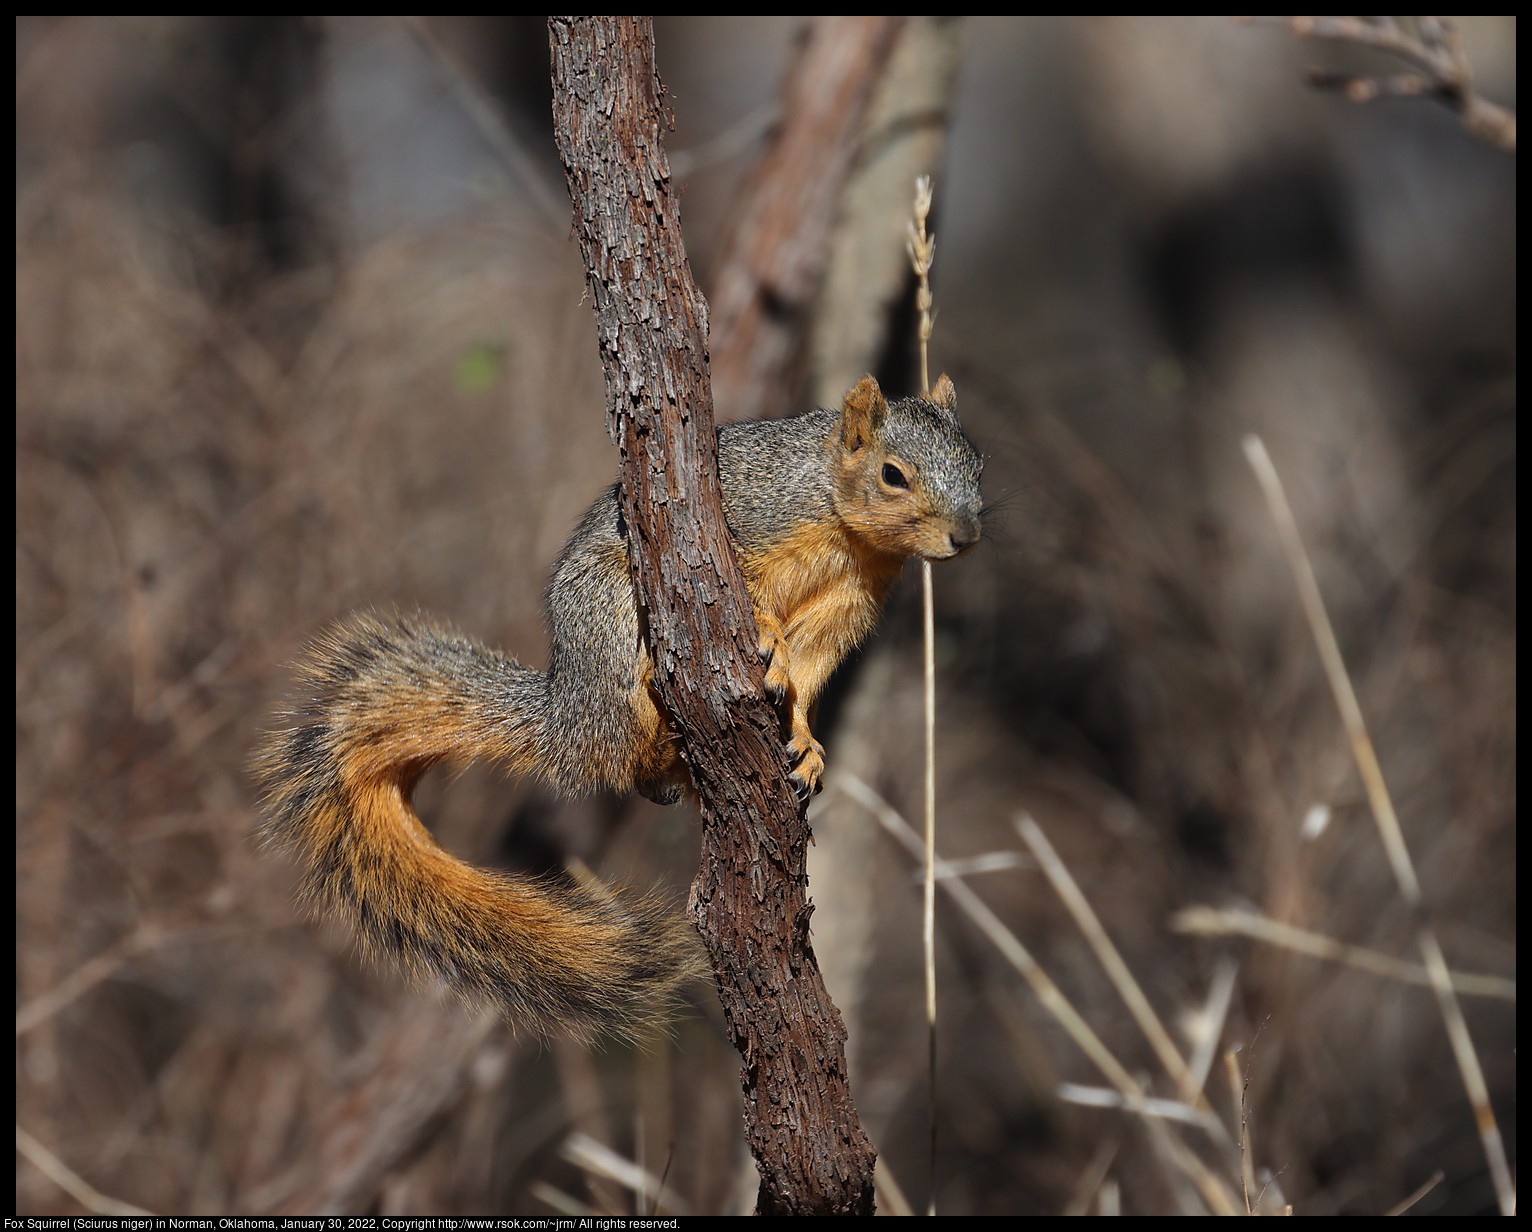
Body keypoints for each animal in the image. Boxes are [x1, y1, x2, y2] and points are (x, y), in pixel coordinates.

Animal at [254, 375, 980, 1041]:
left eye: (978, 464)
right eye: (892, 474)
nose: (966, 536)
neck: (844, 524)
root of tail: (571, 714)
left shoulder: (845, 609)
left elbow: (803, 681)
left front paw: (804, 744)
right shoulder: (746, 521)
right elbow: (748, 593)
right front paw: (768, 636)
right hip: (617, 611)